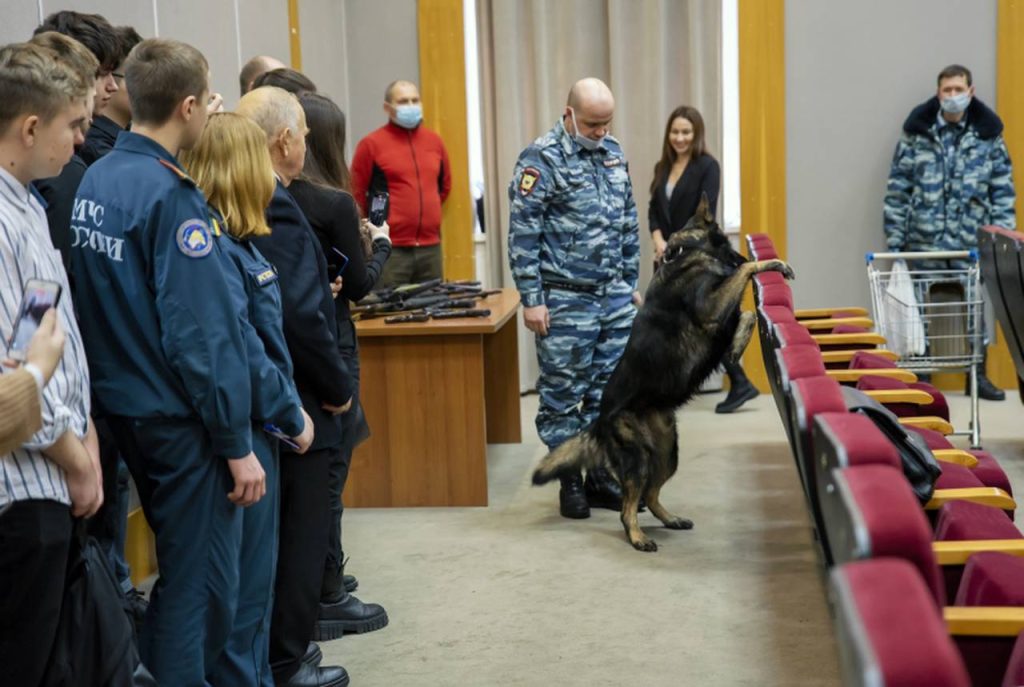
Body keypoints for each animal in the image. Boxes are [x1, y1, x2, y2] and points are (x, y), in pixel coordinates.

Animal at [532, 196, 794, 552]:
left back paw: (671, 519)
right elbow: (743, 273)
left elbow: (748, 315)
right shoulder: (711, 310)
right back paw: (638, 537)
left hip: (668, 453)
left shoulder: (721, 317)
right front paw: (766, 263)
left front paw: (737, 347)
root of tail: (599, 420)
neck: (689, 250)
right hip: (640, 459)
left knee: (652, 495)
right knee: (629, 507)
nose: (743, 252)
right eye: (727, 245)